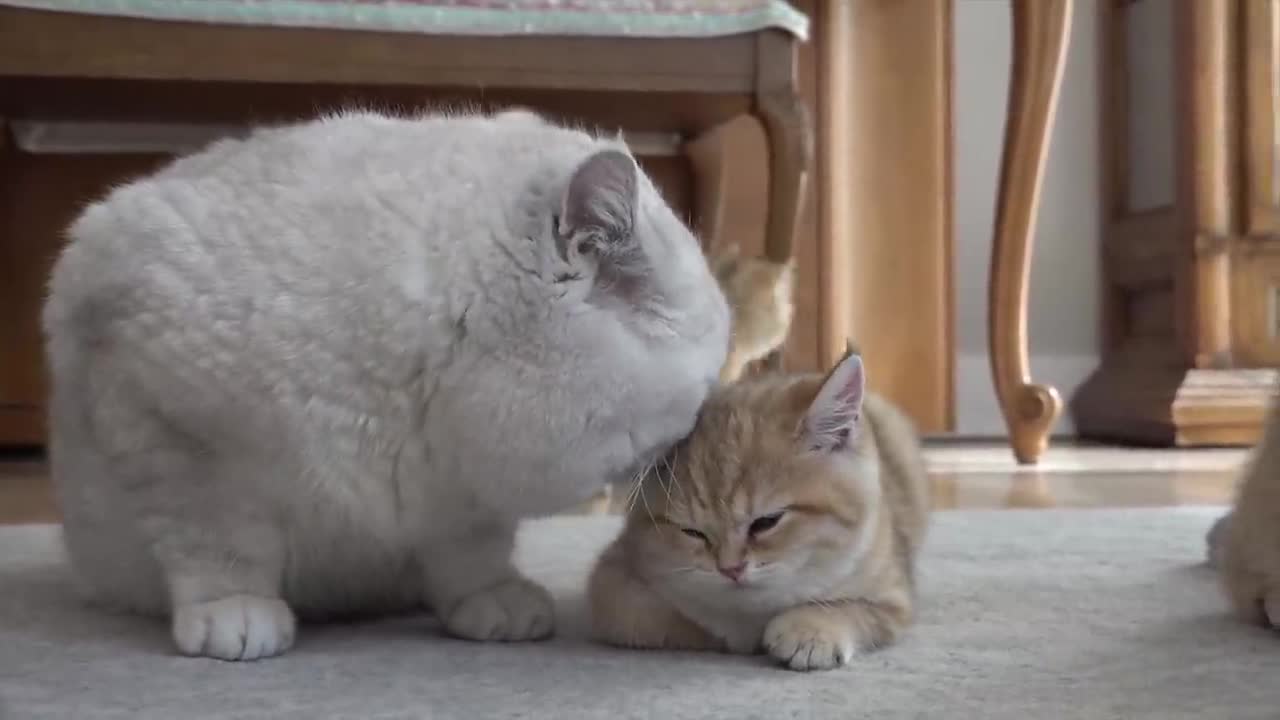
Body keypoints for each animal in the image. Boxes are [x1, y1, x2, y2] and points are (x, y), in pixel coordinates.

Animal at [42, 106, 732, 655]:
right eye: (706, 383)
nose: (697, 438)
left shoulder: (462, 489)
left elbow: (472, 552)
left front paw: (491, 600)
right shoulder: (163, 424)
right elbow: (216, 540)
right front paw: (232, 610)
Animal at [588, 348, 931, 666]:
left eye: (767, 522)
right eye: (692, 532)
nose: (731, 569)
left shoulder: (893, 594)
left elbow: (853, 608)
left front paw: (811, 628)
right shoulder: (614, 582)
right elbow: (649, 617)